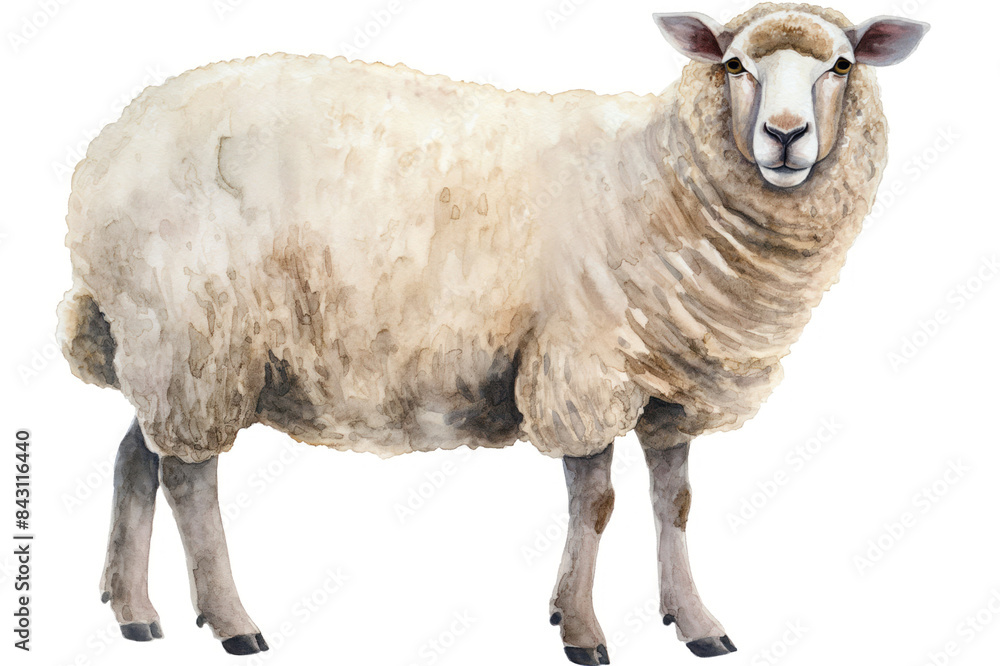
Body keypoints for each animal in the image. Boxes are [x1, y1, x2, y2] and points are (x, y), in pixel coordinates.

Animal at [57, 3, 928, 662]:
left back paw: (133, 612)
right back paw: (233, 621)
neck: (663, 174)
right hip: (195, 329)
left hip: (165, 343)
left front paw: (696, 622)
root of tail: (105, 151)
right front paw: (582, 630)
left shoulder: (671, 384)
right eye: (737, 64)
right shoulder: (581, 365)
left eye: (841, 65)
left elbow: (675, 503)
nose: (785, 135)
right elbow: (598, 503)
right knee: (186, 478)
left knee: (138, 455)